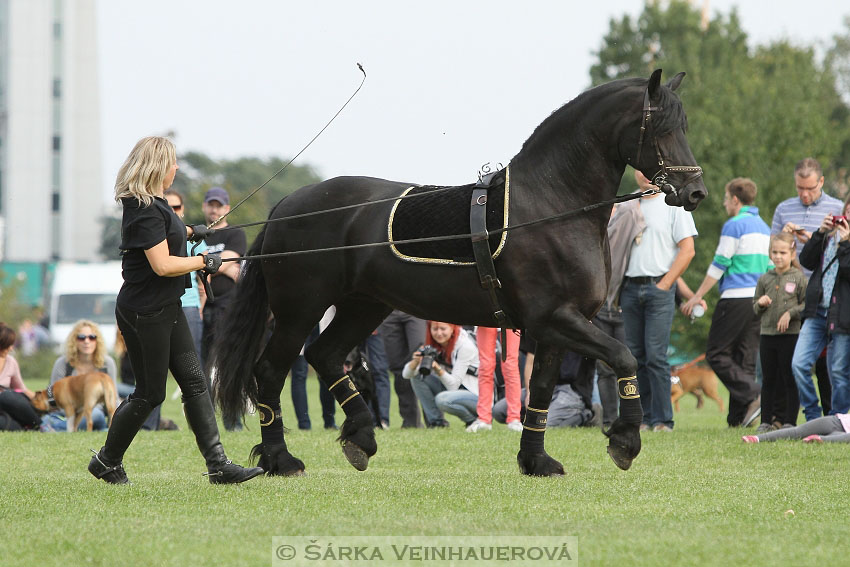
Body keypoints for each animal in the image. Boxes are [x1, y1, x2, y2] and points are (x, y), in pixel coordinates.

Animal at [215, 71, 704, 480]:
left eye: (684, 126)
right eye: (661, 127)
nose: (695, 191)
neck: (552, 205)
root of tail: (286, 205)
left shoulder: (554, 327)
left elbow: (541, 390)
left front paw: (536, 461)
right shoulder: (555, 320)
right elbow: (624, 357)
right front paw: (624, 441)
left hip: (363, 305)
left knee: (325, 355)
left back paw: (361, 437)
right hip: (300, 310)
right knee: (270, 371)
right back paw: (281, 459)